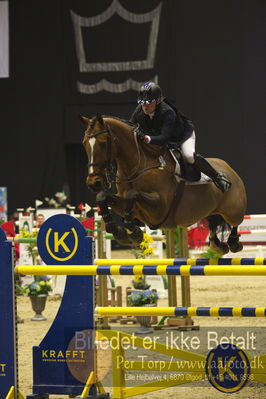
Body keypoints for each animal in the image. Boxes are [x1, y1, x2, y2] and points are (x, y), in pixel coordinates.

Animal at [81, 114, 247, 255]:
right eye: (84, 144)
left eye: (103, 143)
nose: (94, 183)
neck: (136, 167)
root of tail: (229, 169)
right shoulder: (127, 205)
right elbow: (103, 197)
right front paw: (117, 230)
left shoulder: (160, 208)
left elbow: (133, 194)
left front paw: (135, 232)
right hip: (211, 210)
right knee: (213, 222)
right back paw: (217, 245)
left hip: (233, 210)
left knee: (236, 222)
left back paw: (233, 241)